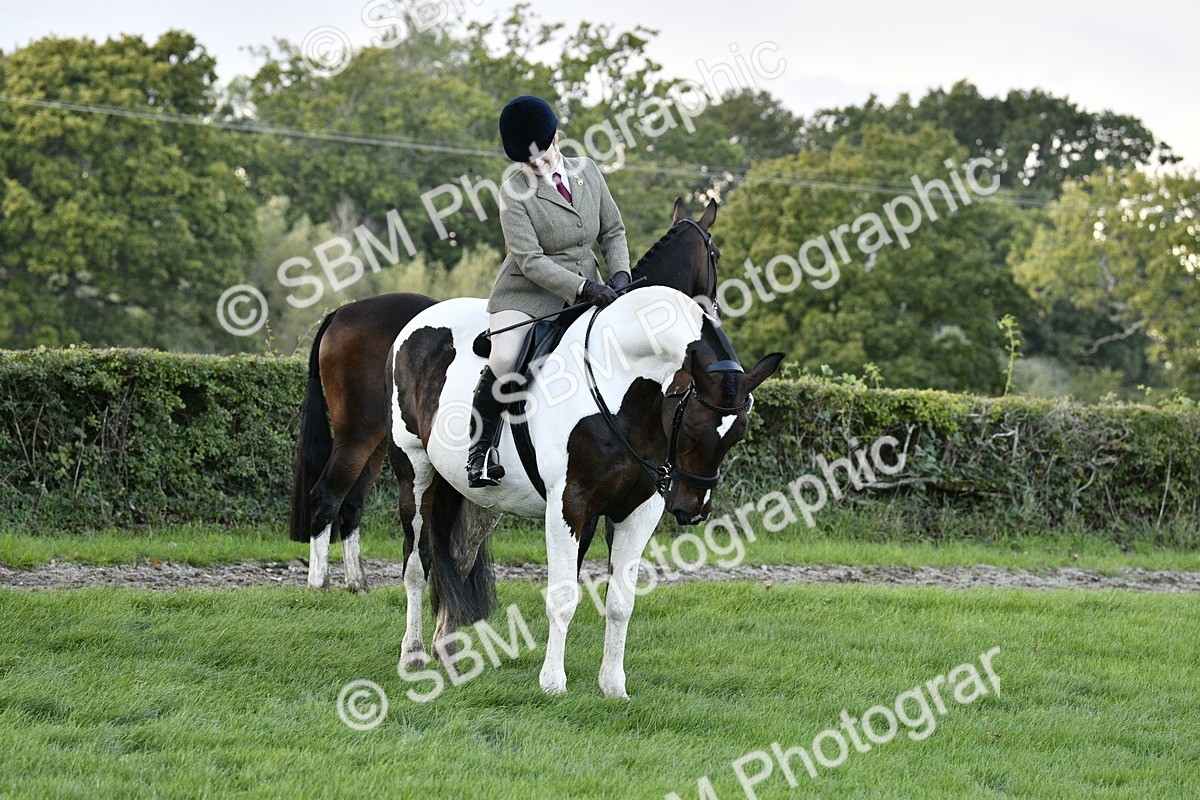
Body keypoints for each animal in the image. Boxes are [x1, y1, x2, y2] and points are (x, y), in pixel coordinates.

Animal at [289, 198, 723, 591]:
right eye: (716, 254)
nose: (714, 318)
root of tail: (341, 313)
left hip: (382, 443)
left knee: (352, 504)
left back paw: (356, 581)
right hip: (359, 437)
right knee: (327, 495)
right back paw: (319, 583)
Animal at [387, 285, 783, 696]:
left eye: (738, 434)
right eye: (691, 426)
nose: (694, 510)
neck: (620, 383)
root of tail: (420, 320)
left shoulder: (638, 512)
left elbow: (621, 602)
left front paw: (613, 686)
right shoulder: (569, 507)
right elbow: (563, 596)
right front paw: (552, 683)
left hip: (480, 501)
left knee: (459, 559)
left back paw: (448, 653)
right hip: (414, 473)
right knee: (416, 563)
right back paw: (413, 655)